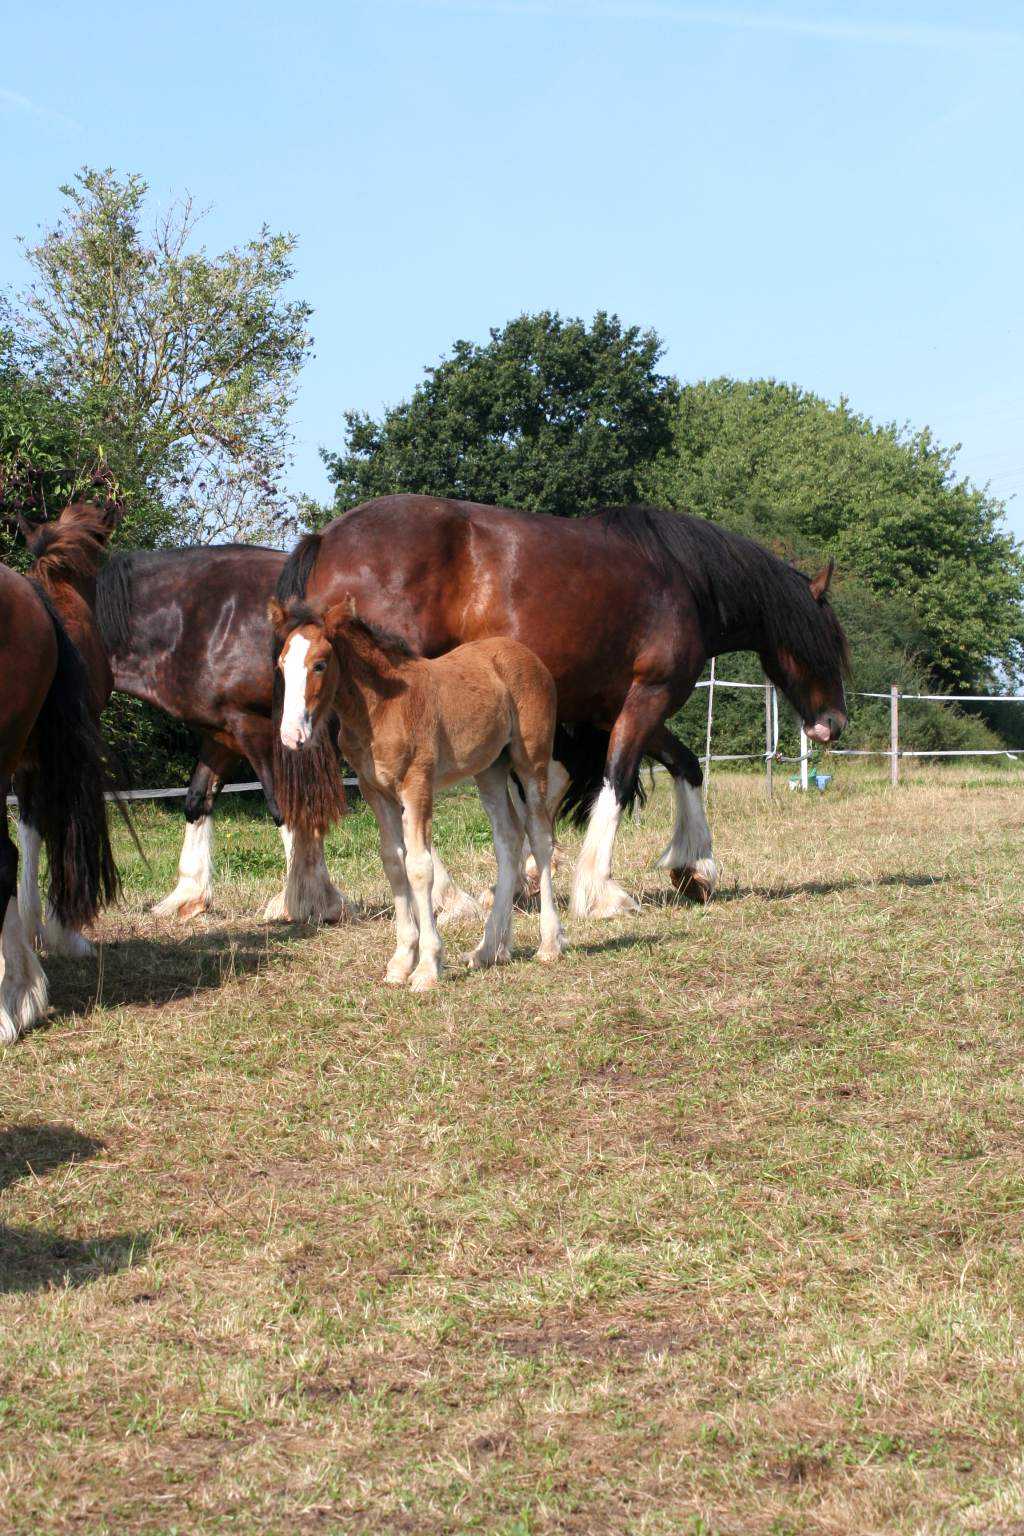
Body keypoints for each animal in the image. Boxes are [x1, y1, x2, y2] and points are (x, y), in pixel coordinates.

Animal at [95, 545, 353, 925]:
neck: (203, 622)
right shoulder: (221, 734)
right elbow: (196, 800)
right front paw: (186, 896)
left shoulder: (258, 730)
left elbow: (286, 807)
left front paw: (310, 902)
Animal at [271, 598, 566, 991]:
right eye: (281, 665)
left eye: (319, 664)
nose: (292, 736)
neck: (380, 711)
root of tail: (528, 656)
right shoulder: (375, 791)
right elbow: (394, 863)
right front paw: (400, 962)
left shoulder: (417, 785)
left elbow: (419, 867)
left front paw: (427, 967)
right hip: (489, 768)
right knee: (508, 838)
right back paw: (487, 950)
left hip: (530, 761)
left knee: (540, 836)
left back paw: (549, 945)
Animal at [273, 496, 850, 919]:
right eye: (825, 640)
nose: (833, 725)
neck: (682, 579)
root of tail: (327, 537)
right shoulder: (649, 696)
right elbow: (615, 781)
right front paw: (598, 890)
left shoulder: (612, 707)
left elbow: (680, 766)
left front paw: (695, 867)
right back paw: (447, 897)